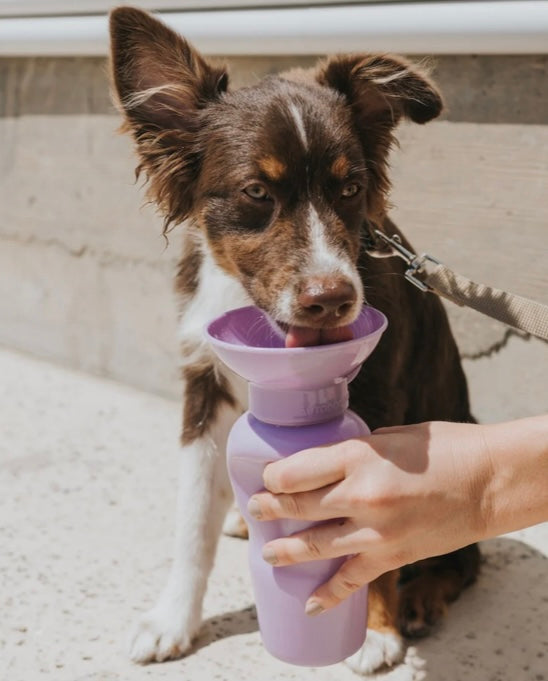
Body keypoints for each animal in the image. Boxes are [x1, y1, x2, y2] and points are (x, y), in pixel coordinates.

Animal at [110, 6, 480, 676]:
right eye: (257, 192)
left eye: (350, 188)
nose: (331, 301)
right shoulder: (203, 389)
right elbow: (189, 519)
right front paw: (173, 619)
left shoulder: (380, 400)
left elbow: (375, 529)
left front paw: (376, 631)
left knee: (465, 558)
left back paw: (420, 601)